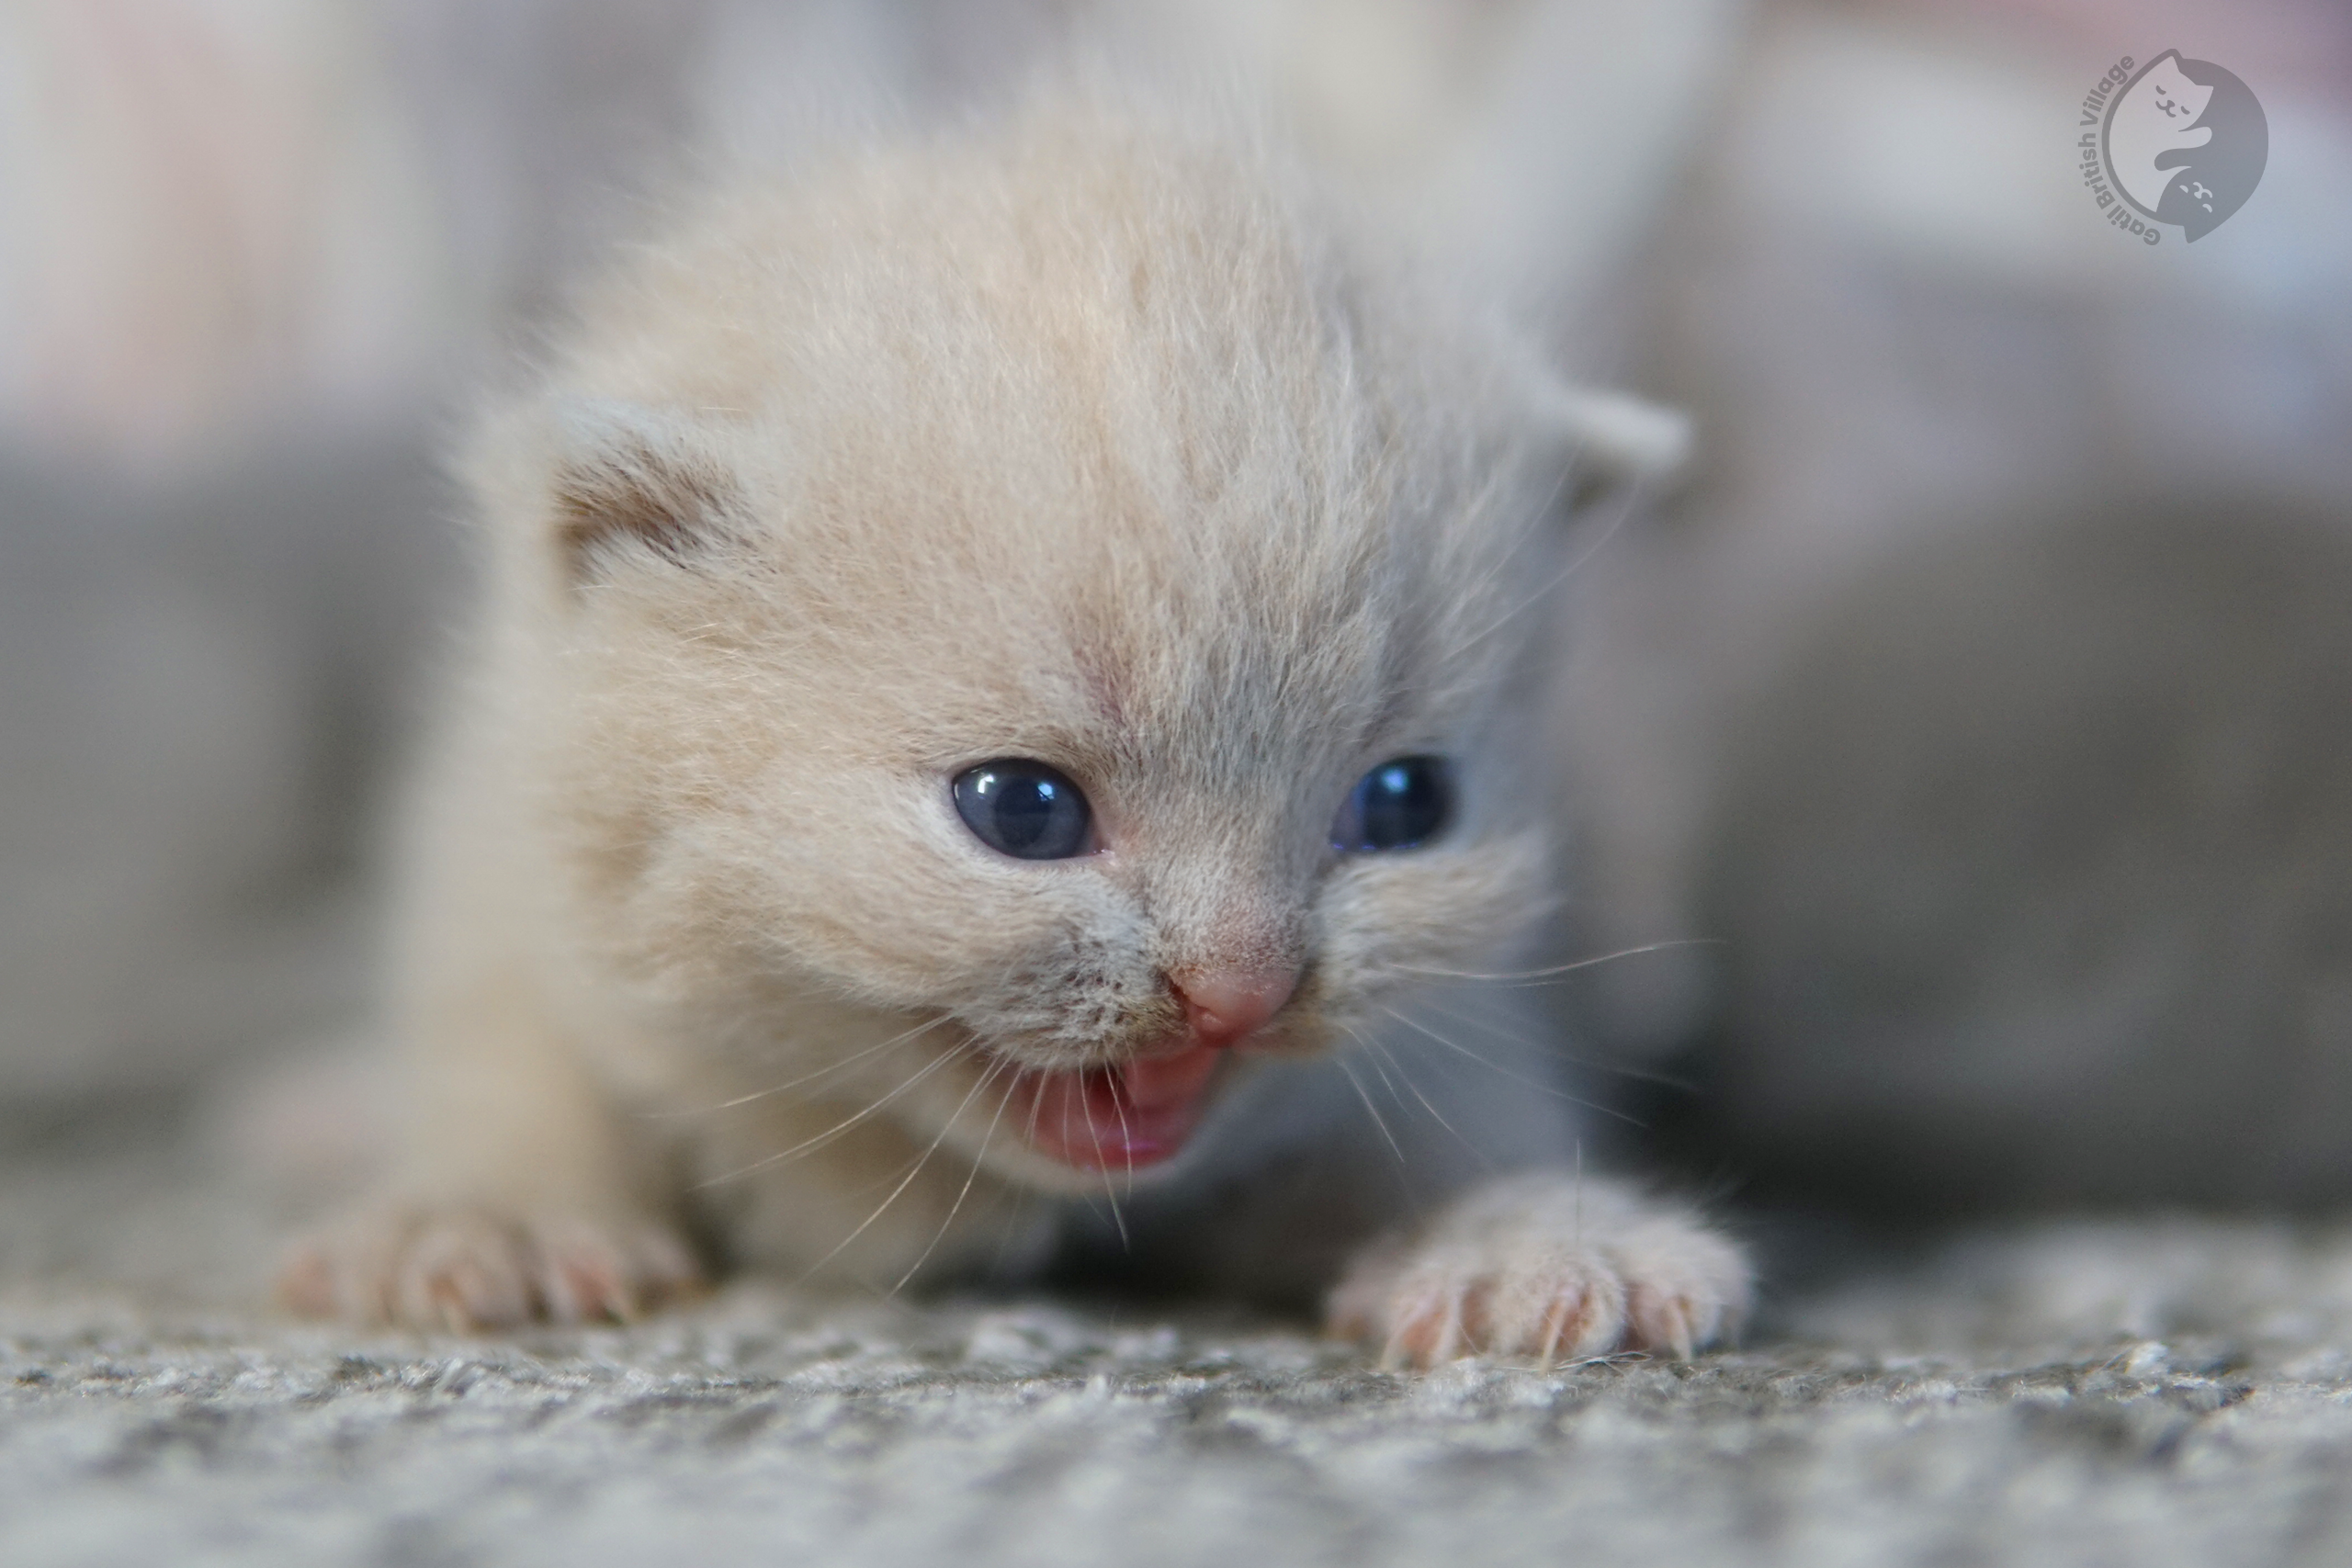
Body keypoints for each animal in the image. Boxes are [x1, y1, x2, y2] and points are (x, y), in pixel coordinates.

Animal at [275, 83, 1749, 1363]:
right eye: (1022, 811)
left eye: (1402, 806)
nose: (1242, 992)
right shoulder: (502, 850)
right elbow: (511, 1043)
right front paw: (485, 1213)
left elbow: (1451, 1107)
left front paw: (1526, 1238)